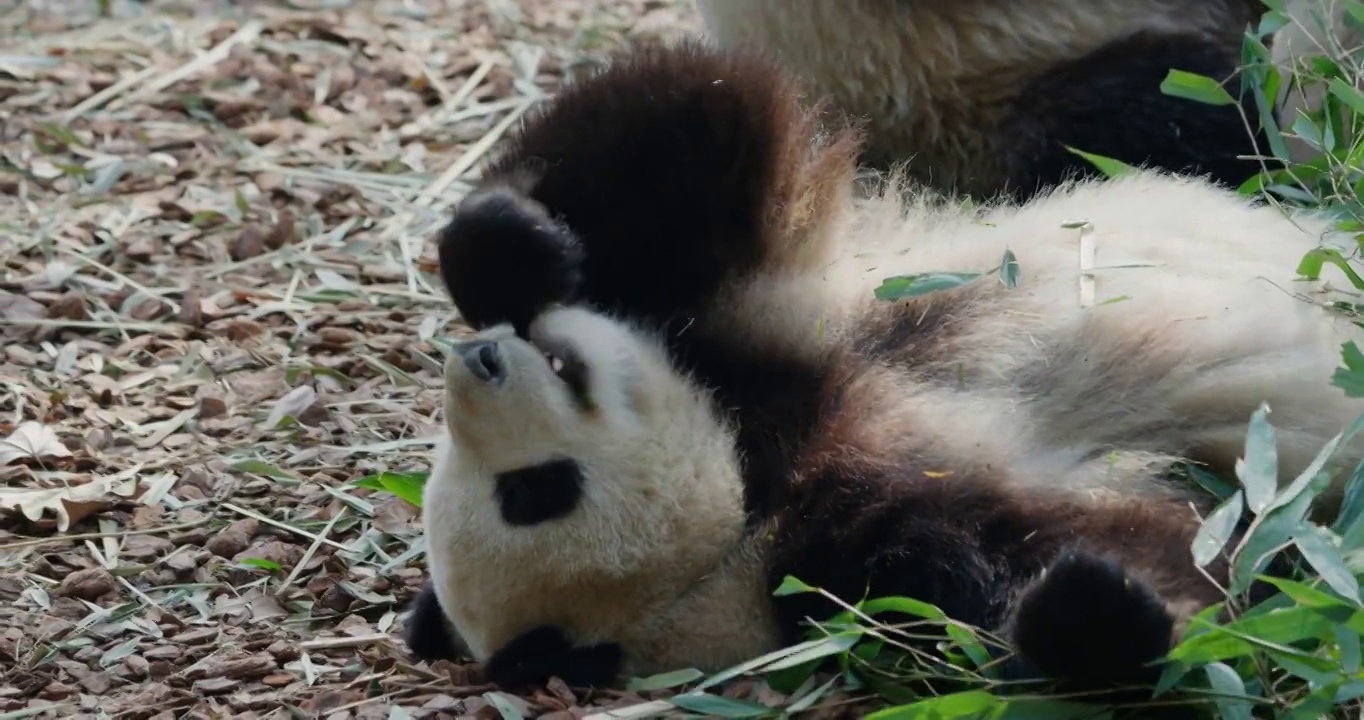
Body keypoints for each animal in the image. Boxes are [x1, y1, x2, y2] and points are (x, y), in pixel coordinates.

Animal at [398, 38, 1364, 698]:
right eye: (531, 491)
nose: (481, 358)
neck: (757, 479)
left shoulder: (758, 328)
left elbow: (695, 128)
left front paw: (511, 251)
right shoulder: (858, 552)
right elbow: (1146, 559)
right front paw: (1092, 603)